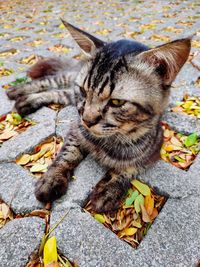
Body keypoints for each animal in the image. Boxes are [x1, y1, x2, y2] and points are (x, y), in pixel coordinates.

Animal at [5, 20, 191, 214]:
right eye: (83, 91)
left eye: (117, 102)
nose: (87, 120)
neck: (111, 141)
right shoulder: (76, 129)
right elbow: (66, 155)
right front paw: (52, 178)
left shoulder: (154, 147)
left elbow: (130, 168)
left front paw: (109, 191)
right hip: (69, 84)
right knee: (49, 81)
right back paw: (18, 91)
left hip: (69, 96)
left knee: (56, 93)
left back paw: (26, 101)